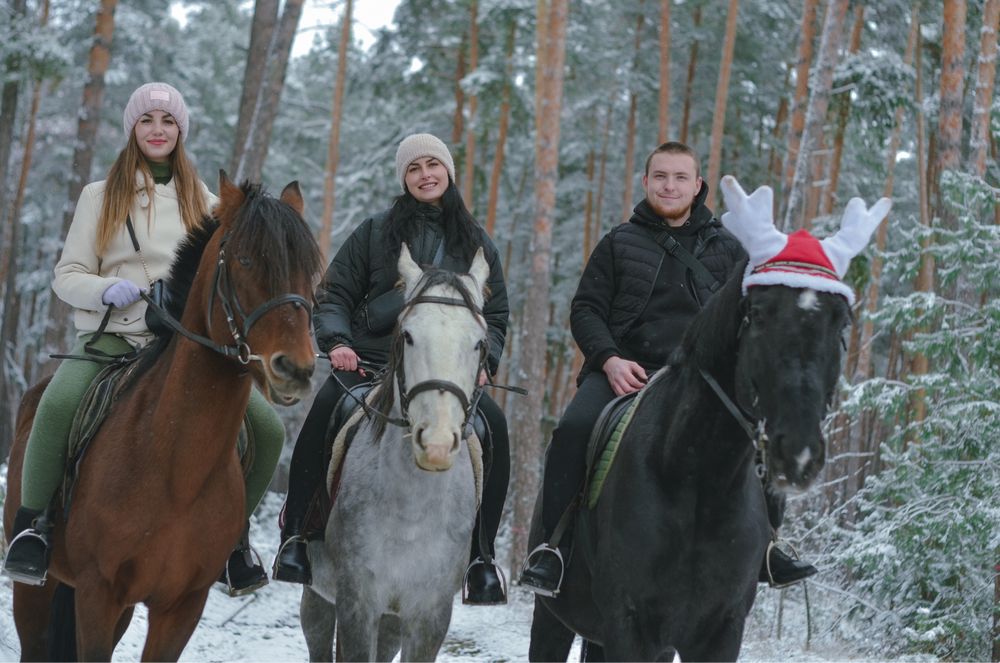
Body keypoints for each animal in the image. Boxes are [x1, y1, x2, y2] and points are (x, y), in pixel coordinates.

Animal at [2, 174, 320, 660]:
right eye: (245, 259)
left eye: (311, 268)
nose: (296, 369)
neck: (176, 471)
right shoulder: (98, 593)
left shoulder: (182, 606)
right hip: (37, 593)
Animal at [300, 245, 492, 663]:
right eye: (408, 335)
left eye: (479, 343)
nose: (436, 444)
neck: (412, 509)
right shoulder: (357, 602)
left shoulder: (429, 614)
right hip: (319, 595)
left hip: (392, 616)